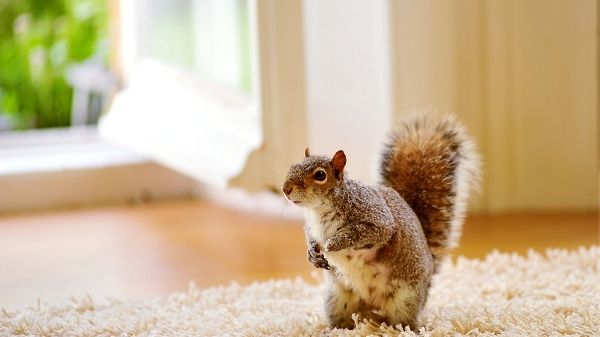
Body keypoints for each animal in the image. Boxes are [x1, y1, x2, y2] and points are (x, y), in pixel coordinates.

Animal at [282, 112, 482, 328]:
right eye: (293, 167)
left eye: (320, 175)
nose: (285, 189)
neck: (318, 210)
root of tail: (371, 304)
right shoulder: (312, 228)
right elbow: (311, 239)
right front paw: (312, 254)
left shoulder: (376, 217)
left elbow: (368, 232)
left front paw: (334, 244)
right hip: (336, 299)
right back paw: (336, 330)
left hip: (406, 300)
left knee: (403, 320)